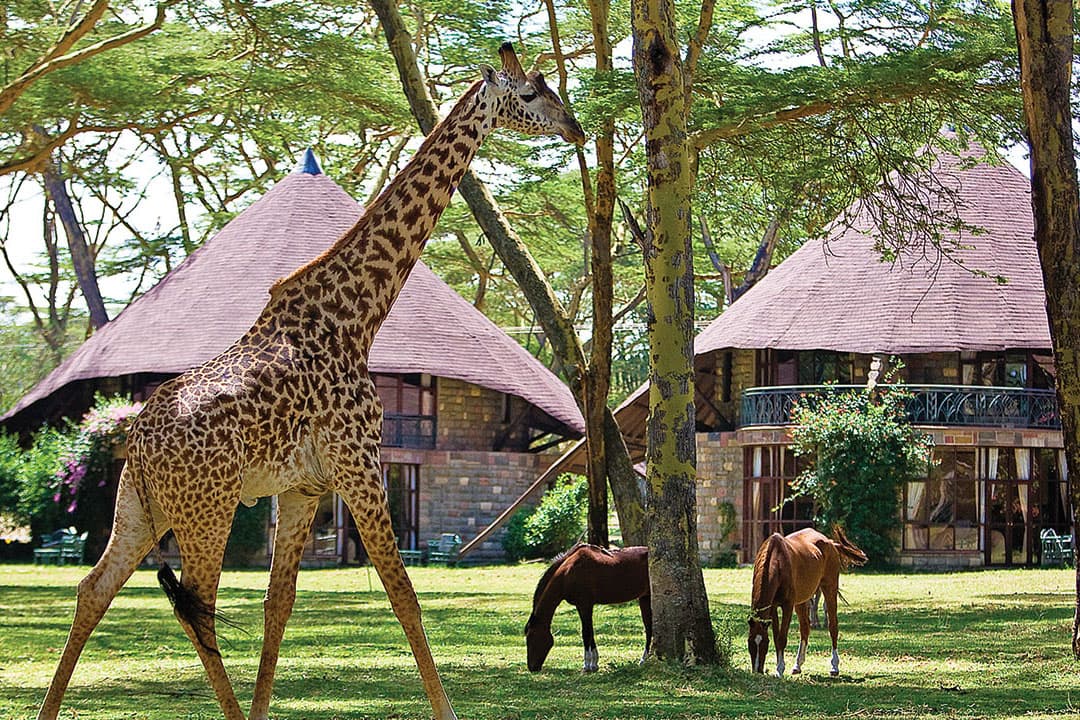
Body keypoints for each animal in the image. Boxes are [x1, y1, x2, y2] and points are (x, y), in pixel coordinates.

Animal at [39, 43, 583, 720]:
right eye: (531, 93)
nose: (575, 127)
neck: (357, 316)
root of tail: (136, 443)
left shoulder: (303, 487)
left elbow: (280, 606)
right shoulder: (358, 463)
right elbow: (404, 595)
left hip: (139, 506)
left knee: (94, 589)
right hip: (207, 509)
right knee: (197, 606)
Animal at [524, 544, 648, 673]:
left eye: (531, 638)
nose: (532, 668)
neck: (567, 573)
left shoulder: (585, 606)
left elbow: (586, 633)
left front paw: (587, 665)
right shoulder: (582, 606)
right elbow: (590, 633)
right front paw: (594, 664)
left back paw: (643, 660)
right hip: (645, 598)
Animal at [747, 526, 864, 677]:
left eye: (764, 644)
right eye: (750, 642)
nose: (757, 670)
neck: (777, 560)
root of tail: (831, 543)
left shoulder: (788, 605)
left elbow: (781, 638)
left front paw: (779, 670)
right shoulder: (772, 607)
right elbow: (776, 636)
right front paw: (779, 667)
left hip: (829, 589)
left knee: (833, 626)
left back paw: (834, 666)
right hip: (802, 600)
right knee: (805, 628)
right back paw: (798, 665)